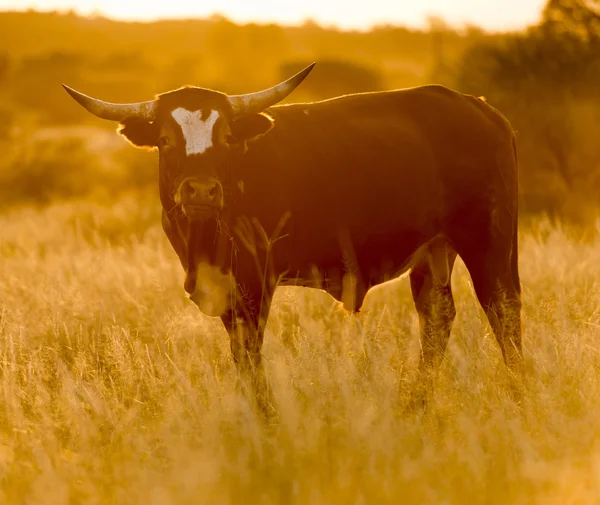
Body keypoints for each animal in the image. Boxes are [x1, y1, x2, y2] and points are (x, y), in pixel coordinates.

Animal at [64, 62, 520, 410]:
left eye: (226, 137)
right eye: (164, 139)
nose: (201, 191)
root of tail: (481, 108)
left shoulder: (254, 284)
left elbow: (248, 356)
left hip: (490, 241)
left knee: (504, 311)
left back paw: (519, 394)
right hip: (434, 251)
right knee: (437, 317)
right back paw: (416, 405)